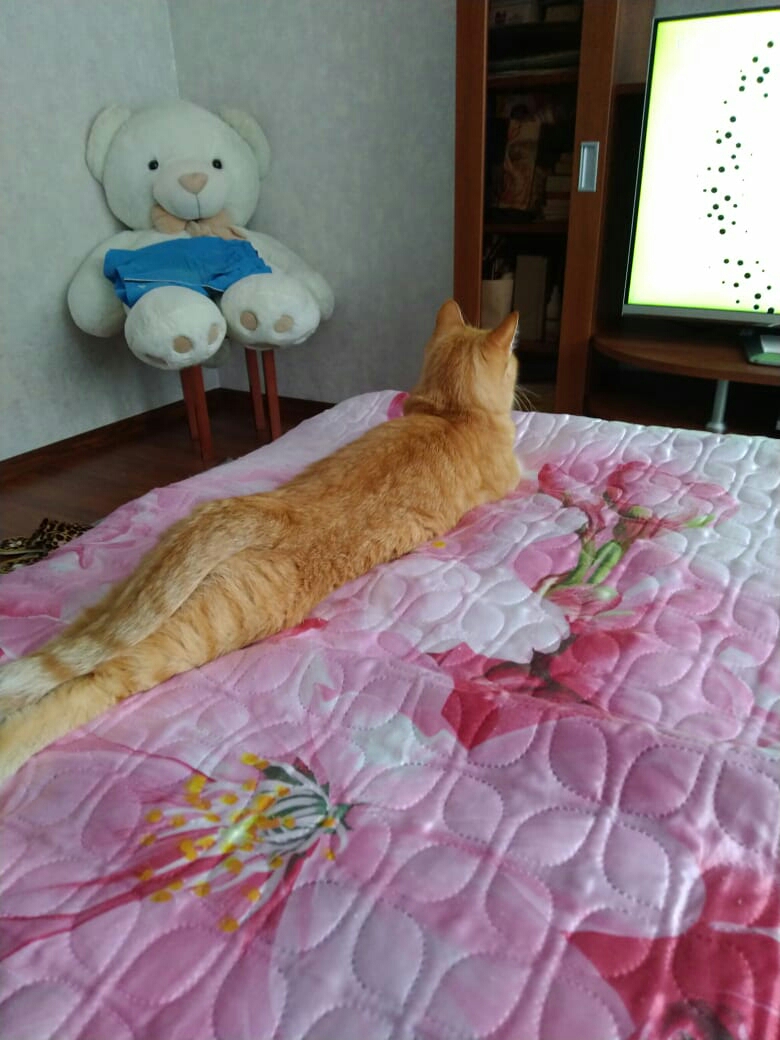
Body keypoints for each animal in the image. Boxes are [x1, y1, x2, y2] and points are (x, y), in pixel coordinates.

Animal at [0, 300, 521, 780]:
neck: (450, 412)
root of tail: (260, 510)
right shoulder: (512, 477)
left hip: (127, 599)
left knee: (68, 651)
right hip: (196, 632)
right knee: (94, 683)